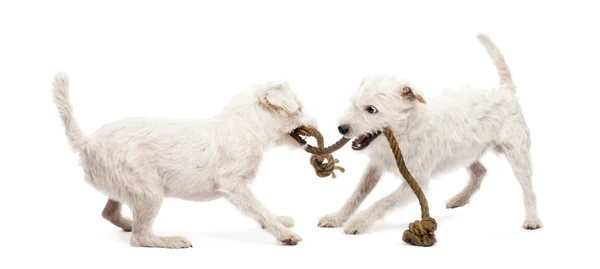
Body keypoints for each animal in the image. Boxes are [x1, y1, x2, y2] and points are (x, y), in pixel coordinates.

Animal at [52, 74, 314, 247]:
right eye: (300, 108)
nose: (316, 123)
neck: (249, 125)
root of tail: (87, 142)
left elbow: (261, 211)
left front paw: (278, 220)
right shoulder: (235, 186)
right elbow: (259, 208)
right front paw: (282, 232)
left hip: (126, 185)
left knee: (110, 212)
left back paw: (128, 223)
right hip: (149, 191)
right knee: (140, 237)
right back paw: (169, 240)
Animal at [318, 34, 544, 234]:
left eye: (371, 109)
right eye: (353, 104)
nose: (342, 128)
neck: (404, 132)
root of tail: (505, 92)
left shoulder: (415, 182)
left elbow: (382, 201)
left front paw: (359, 222)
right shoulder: (374, 168)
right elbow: (357, 194)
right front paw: (337, 217)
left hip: (516, 154)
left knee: (528, 189)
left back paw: (532, 219)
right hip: (463, 152)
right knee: (480, 171)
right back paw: (460, 198)